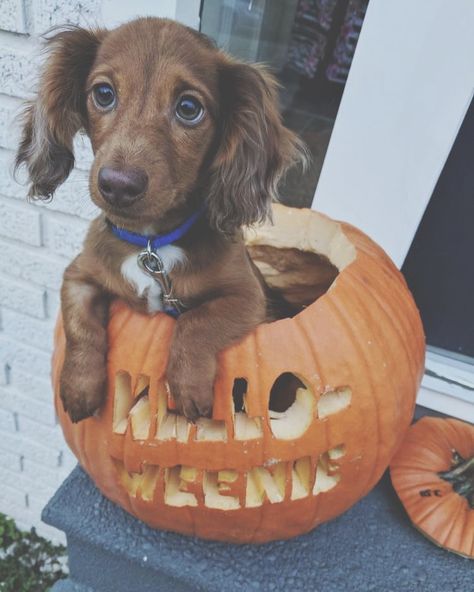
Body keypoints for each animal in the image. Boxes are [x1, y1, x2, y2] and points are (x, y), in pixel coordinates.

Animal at [15, 18, 304, 424]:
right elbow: (80, 327)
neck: (151, 244)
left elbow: (196, 322)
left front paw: (187, 387)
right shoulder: (78, 276)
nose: (118, 186)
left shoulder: (247, 296)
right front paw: (79, 387)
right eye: (103, 93)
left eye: (189, 108)